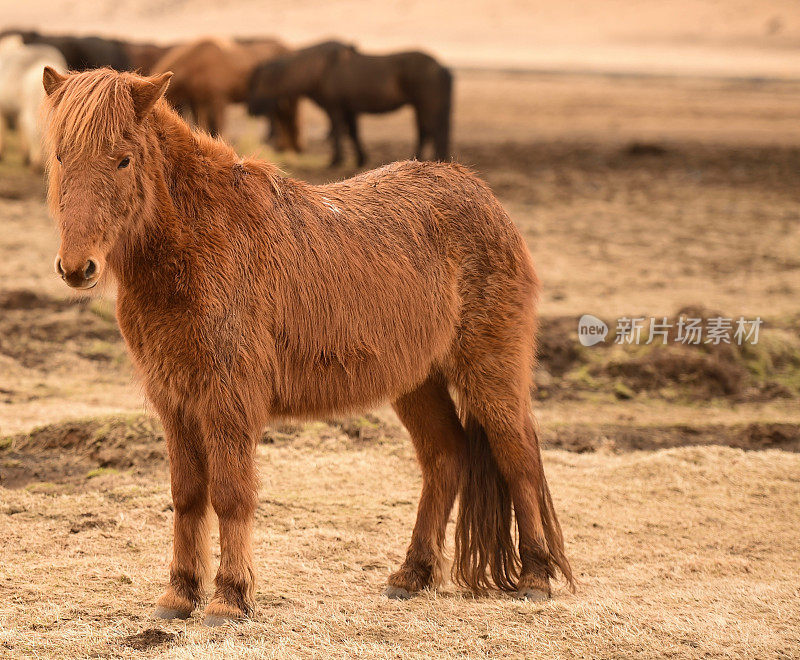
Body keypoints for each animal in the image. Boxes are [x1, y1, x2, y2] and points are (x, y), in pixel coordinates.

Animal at [43, 67, 572, 628]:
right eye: (60, 156)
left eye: (123, 159)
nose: (77, 267)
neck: (200, 241)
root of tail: (485, 197)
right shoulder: (175, 401)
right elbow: (186, 496)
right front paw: (179, 595)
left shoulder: (229, 401)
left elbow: (230, 494)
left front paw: (230, 598)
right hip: (417, 382)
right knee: (445, 457)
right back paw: (412, 574)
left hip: (489, 371)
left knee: (517, 455)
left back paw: (536, 577)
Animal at [247, 41, 454, 168]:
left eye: (259, 82)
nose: (250, 109)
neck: (320, 70)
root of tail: (441, 67)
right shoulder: (349, 110)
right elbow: (353, 134)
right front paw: (360, 160)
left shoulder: (335, 109)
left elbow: (339, 133)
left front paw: (336, 160)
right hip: (421, 108)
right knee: (426, 133)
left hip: (427, 108)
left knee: (433, 132)